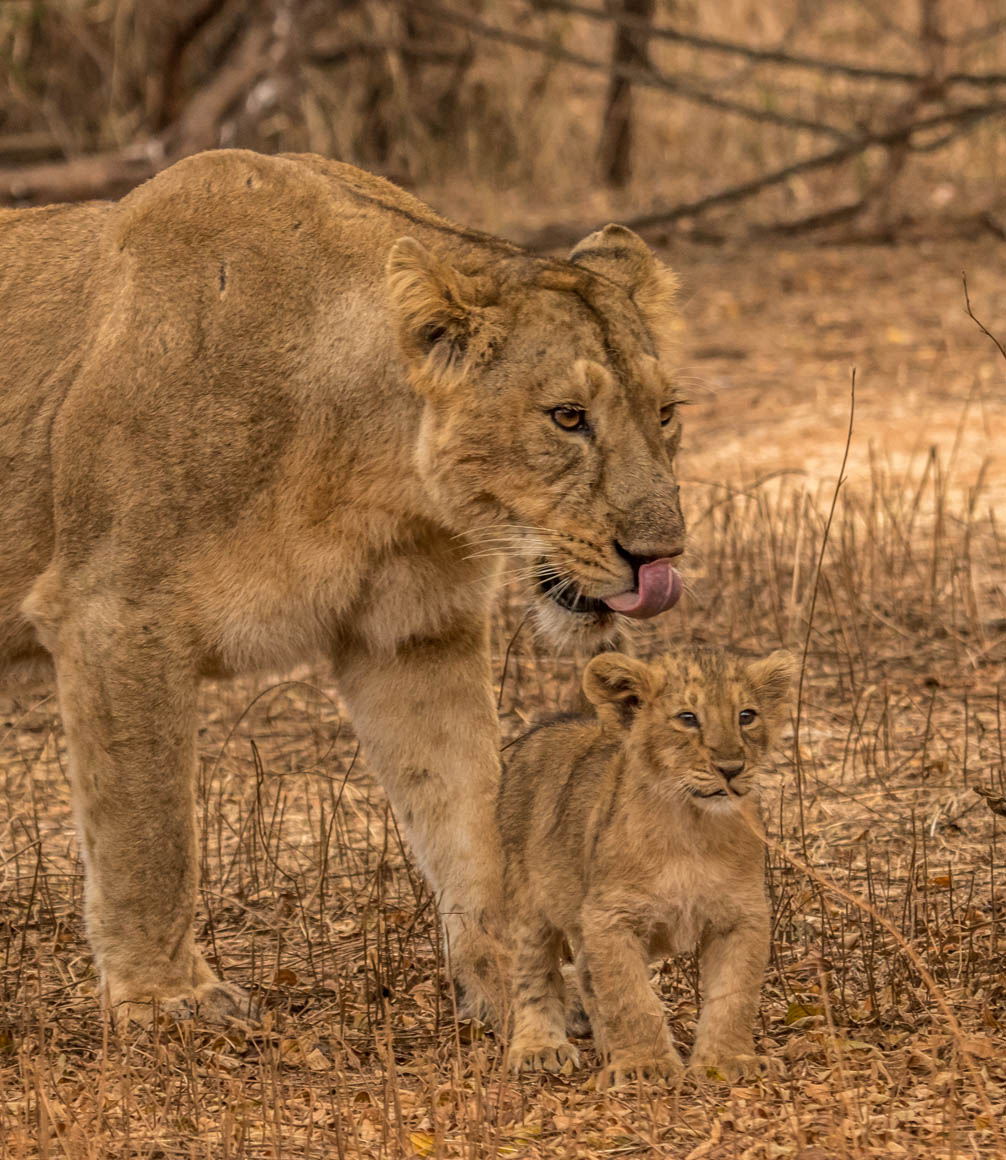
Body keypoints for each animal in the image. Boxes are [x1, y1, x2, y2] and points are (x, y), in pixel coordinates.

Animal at [0, 148, 686, 1026]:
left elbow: (470, 816)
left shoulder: (413, 633)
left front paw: (525, 994)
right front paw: (166, 1000)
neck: (377, 473)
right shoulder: (115, 611)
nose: (661, 554)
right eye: (567, 417)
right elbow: (148, 831)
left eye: (664, 413)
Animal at [498, 646, 795, 1086]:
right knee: (534, 973)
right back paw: (540, 1048)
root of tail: (547, 725)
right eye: (687, 718)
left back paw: (606, 1046)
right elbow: (630, 996)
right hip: (527, 902)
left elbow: (734, 995)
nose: (731, 768)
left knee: (586, 974)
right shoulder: (611, 917)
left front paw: (729, 1061)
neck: (692, 826)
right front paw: (645, 1066)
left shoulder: (742, 915)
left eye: (747, 715)